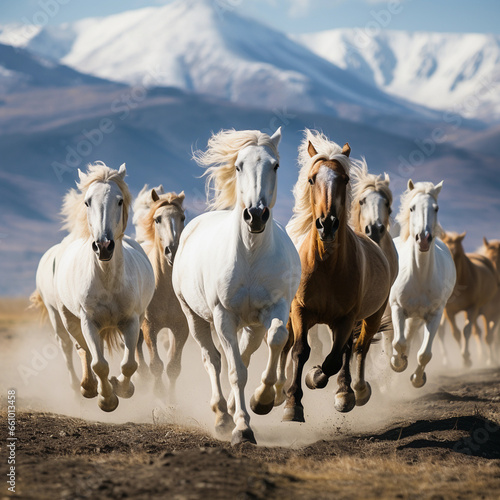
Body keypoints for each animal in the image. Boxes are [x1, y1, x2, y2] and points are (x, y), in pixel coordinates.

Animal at [31, 163, 154, 410]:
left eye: (119, 200)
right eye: (87, 202)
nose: (104, 246)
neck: (107, 281)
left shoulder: (131, 321)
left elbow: (128, 363)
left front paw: (123, 388)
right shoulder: (88, 322)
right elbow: (99, 363)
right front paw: (106, 399)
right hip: (61, 317)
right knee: (74, 348)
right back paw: (85, 387)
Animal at [172, 127, 300, 444]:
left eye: (275, 165)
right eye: (239, 165)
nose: (255, 215)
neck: (250, 254)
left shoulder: (276, 307)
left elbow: (276, 338)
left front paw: (262, 399)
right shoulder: (223, 316)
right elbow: (235, 372)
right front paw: (242, 428)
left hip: (251, 324)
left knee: (245, 353)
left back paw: (232, 407)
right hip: (194, 316)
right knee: (213, 360)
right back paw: (221, 414)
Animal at [282, 130, 390, 422]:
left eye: (345, 179)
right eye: (311, 179)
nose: (327, 224)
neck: (326, 265)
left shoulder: (346, 319)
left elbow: (332, 360)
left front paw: (317, 379)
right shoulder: (300, 310)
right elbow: (300, 350)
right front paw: (292, 404)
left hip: (371, 317)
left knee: (358, 348)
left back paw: (352, 391)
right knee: (285, 346)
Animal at [388, 180, 456, 386]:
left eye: (436, 208)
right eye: (412, 207)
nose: (424, 239)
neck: (419, 276)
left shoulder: (434, 315)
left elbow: (424, 354)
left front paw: (417, 379)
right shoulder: (397, 308)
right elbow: (398, 342)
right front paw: (397, 363)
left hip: (417, 318)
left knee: (410, 339)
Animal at [440, 231, 498, 368]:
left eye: (457, 254)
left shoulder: (473, 308)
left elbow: (468, 331)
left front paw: (467, 358)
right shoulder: (449, 311)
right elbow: (456, 333)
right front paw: (465, 358)